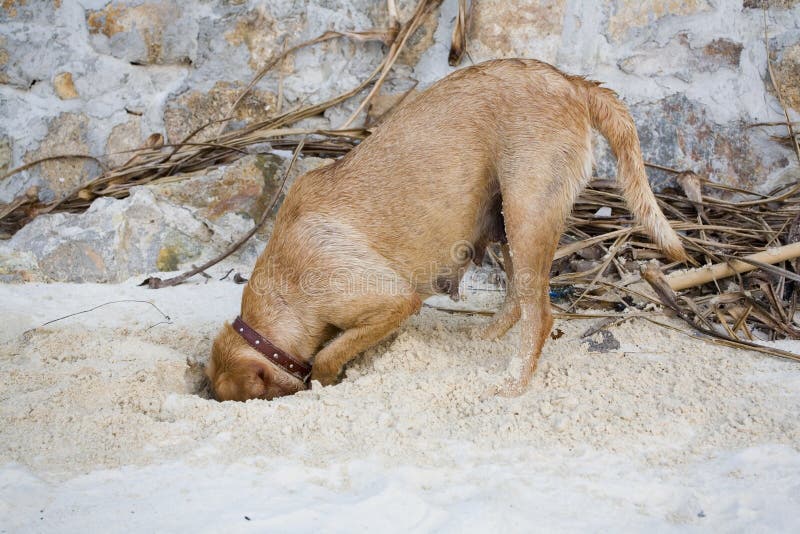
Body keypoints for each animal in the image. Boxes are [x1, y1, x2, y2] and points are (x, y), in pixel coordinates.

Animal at [203, 58, 684, 402]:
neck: (284, 283)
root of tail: (571, 81)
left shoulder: (393, 300)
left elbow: (327, 354)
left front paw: (325, 380)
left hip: (527, 214)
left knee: (540, 316)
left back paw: (512, 386)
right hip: (505, 222)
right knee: (516, 303)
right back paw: (481, 342)